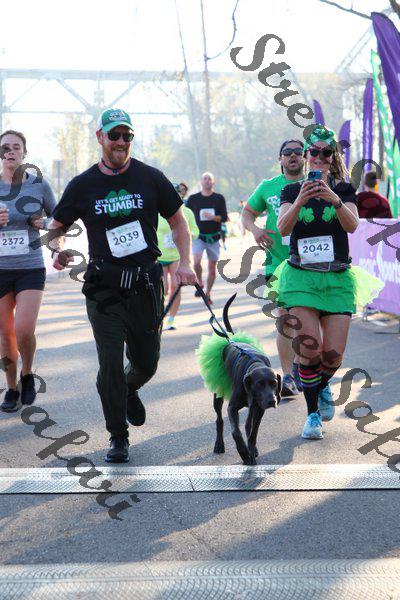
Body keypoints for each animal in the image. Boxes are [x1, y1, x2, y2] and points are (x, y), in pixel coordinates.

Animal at [197, 294, 281, 465]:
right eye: (259, 384)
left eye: (274, 384)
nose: (272, 401)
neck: (255, 363)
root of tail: (231, 339)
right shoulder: (233, 408)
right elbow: (235, 431)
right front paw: (243, 453)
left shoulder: (259, 408)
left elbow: (253, 432)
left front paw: (251, 451)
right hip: (218, 395)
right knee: (219, 420)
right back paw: (219, 444)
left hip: (253, 405)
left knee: (248, 425)